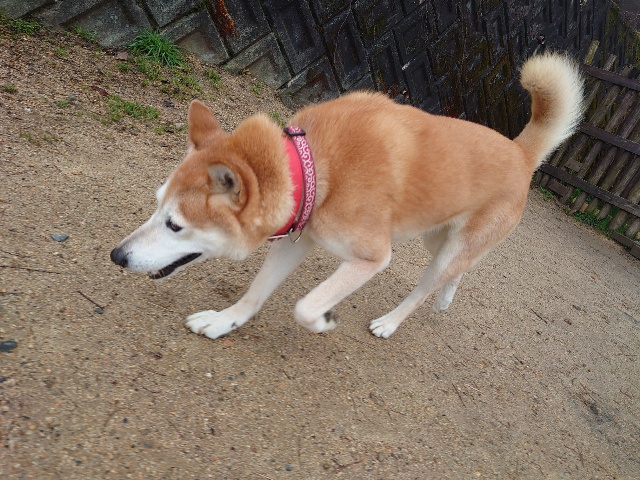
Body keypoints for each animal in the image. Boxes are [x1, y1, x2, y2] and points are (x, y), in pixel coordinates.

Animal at [111, 52, 584, 339]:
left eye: (175, 225)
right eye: (155, 204)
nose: (116, 256)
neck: (316, 167)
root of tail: (521, 152)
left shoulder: (372, 257)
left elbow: (304, 306)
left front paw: (323, 320)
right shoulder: (296, 240)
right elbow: (255, 293)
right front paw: (225, 320)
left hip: (446, 247)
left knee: (424, 288)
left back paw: (390, 322)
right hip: (437, 234)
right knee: (457, 272)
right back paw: (446, 297)